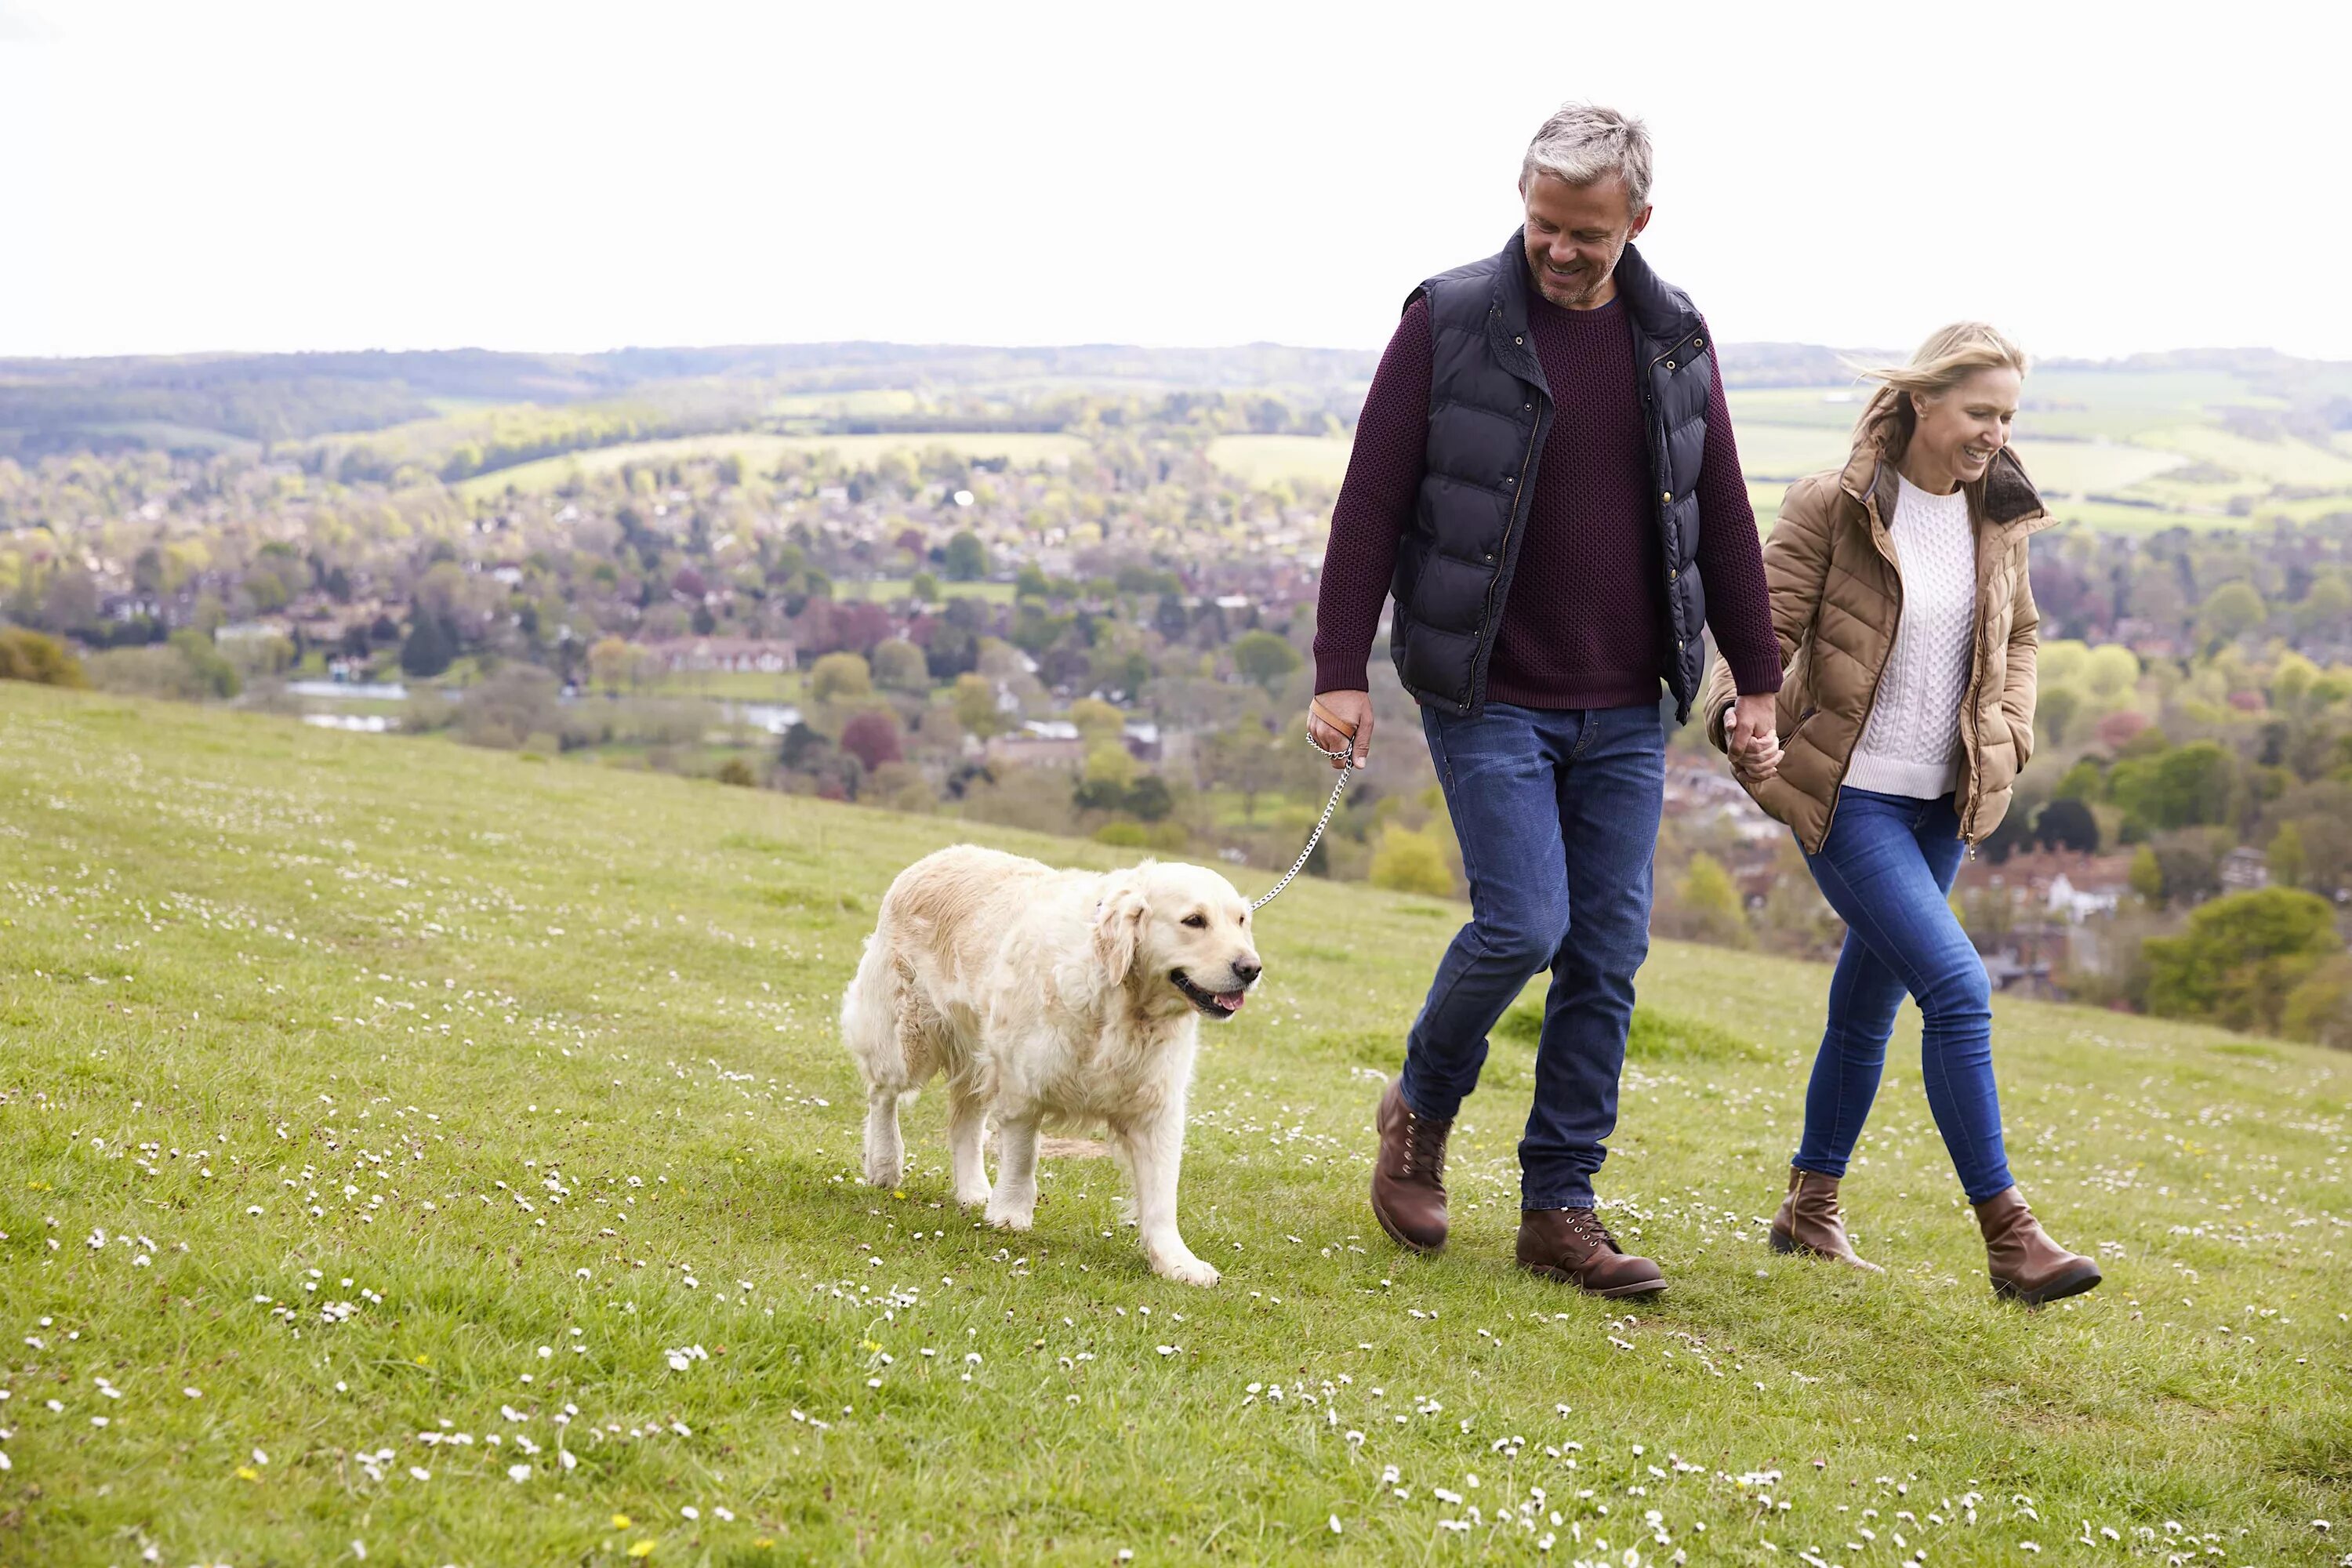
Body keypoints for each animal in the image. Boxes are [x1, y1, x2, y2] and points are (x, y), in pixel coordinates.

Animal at [837, 846, 1261, 1288]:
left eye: (1240, 921)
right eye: (1194, 921)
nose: (1251, 968)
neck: (1123, 1006)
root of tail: (935, 857)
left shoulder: (1157, 1108)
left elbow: (1162, 1195)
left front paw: (1177, 1262)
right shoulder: (1023, 1085)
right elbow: (1024, 1154)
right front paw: (1011, 1214)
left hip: (978, 1056)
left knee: (964, 1122)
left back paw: (972, 1190)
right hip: (906, 1036)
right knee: (883, 1094)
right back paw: (885, 1163)